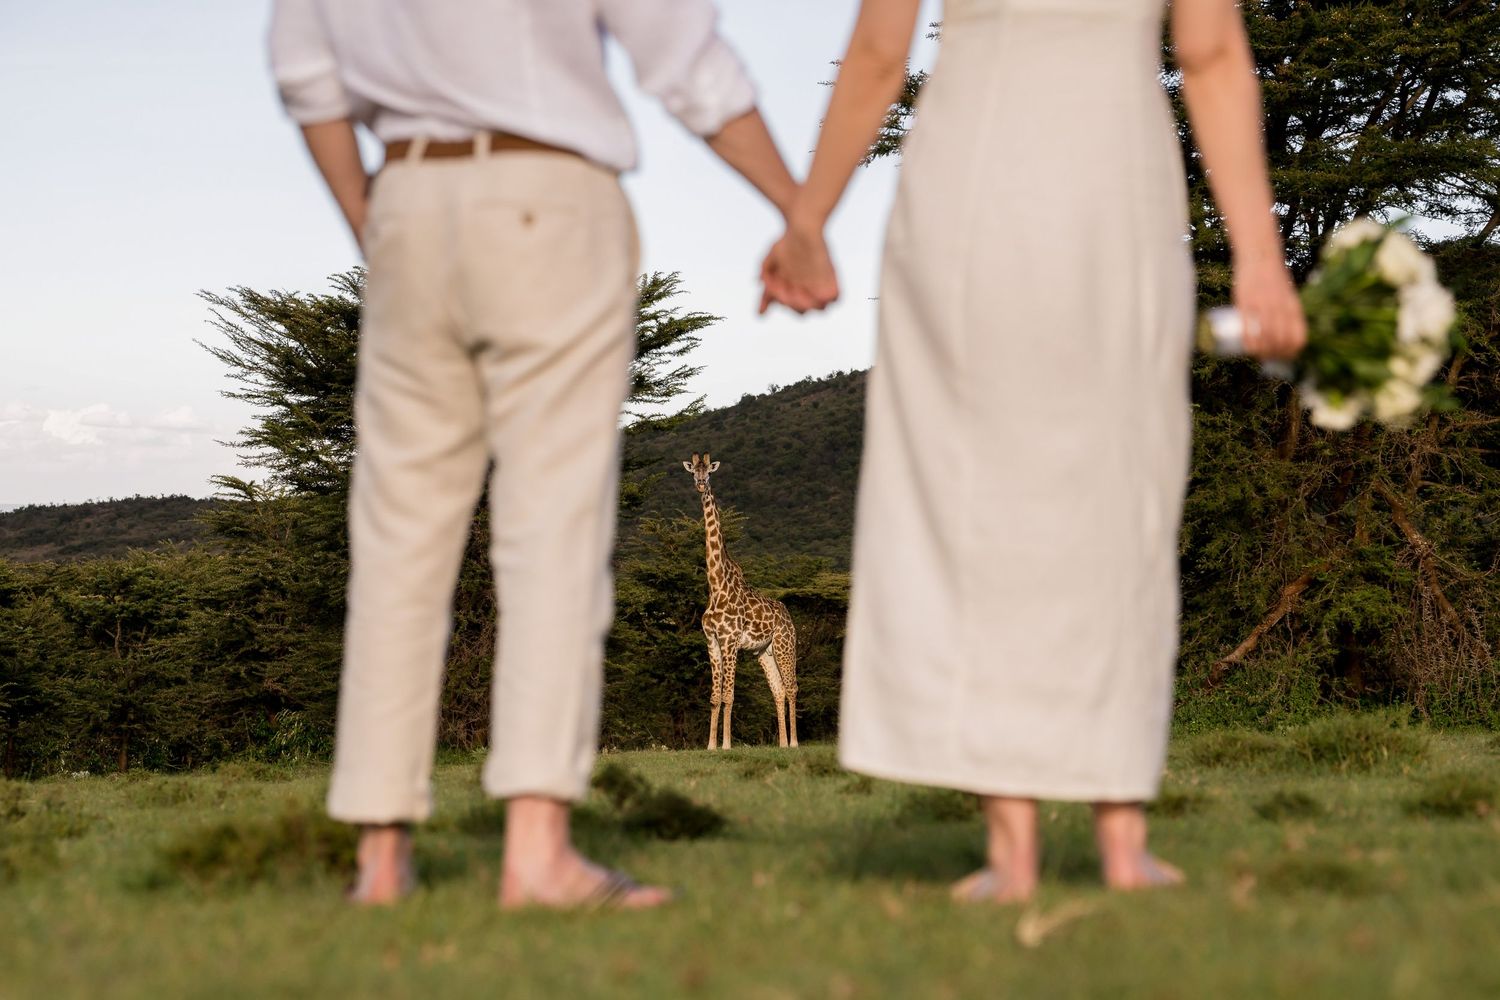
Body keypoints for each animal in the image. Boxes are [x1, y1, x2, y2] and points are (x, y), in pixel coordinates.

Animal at [682, 453, 798, 750]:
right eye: (693, 472)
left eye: (709, 472)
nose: (700, 484)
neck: (716, 585)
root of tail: (788, 616)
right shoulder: (711, 641)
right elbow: (714, 697)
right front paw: (710, 746)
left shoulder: (730, 641)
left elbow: (728, 695)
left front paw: (726, 745)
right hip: (764, 652)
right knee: (778, 690)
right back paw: (782, 744)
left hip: (784, 645)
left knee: (792, 687)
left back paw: (794, 743)